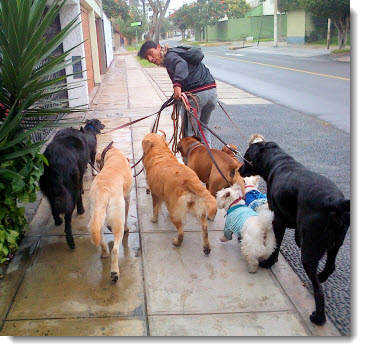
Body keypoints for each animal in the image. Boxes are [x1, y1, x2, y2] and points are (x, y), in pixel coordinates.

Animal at [89, 146, 133, 284]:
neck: (112, 152)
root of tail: (103, 191)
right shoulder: (127, 198)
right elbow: (127, 215)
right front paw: (127, 228)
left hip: (96, 216)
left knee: (102, 240)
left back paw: (104, 254)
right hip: (118, 220)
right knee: (115, 249)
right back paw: (114, 273)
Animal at [237, 141, 348, 328]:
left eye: (247, 156)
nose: (238, 170)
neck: (277, 161)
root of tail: (336, 203)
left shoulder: (278, 218)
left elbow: (276, 243)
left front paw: (269, 262)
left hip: (309, 252)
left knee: (319, 291)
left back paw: (319, 317)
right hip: (336, 244)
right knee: (330, 267)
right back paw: (320, 277)